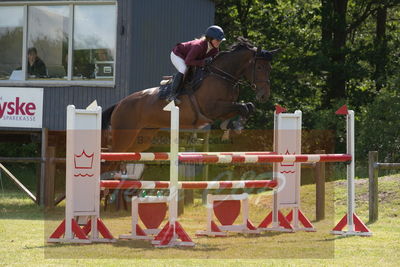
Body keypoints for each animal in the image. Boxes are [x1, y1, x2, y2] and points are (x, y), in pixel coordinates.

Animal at [101, 37, 276, 174]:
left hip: (141, 139)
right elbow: (243, 107)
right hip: (124, 136)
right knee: (109, 158)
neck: (221, 75)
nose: (264, 95)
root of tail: (119, 104)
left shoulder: (223, 109)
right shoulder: (212, 108)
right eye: (259, 67)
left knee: (114, 161)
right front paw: (237, 126)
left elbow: (248, 106)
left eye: (270, 68)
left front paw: (233, 126)